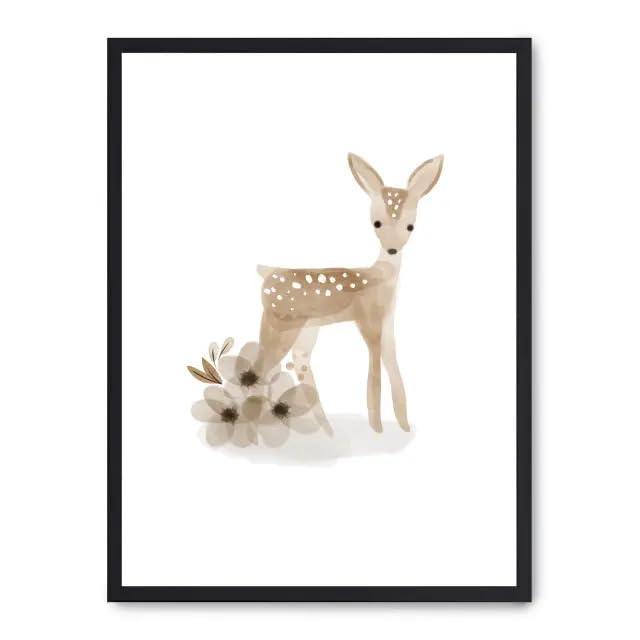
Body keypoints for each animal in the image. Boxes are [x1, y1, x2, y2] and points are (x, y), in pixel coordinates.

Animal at [256, 153, 444, 436]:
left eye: (411, 226)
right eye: (376, 223)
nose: (392, 249)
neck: (381, 277)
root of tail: (265, 272)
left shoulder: (388, 322)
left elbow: (393, 366)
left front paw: (403, 425)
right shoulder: (368, 319)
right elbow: (375, 374)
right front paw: (377, 428)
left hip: (304, 331)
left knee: (295, 365)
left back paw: (323, 430)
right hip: (279, 323)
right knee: (259, 366)